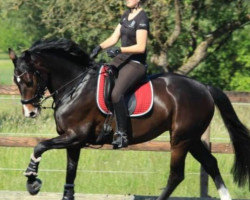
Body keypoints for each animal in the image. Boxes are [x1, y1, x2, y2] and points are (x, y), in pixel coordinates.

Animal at [8, 39, 250, 200]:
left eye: (28, 80)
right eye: (16, 80)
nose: (29, 112)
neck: (74, 86)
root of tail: (204, 87)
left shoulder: (75, 136)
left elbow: (39, 146)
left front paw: (32, 181)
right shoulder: (73, 141)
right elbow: (70, 173)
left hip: (181, 139)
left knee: (176, 175)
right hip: (191, 137)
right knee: (210, 163)